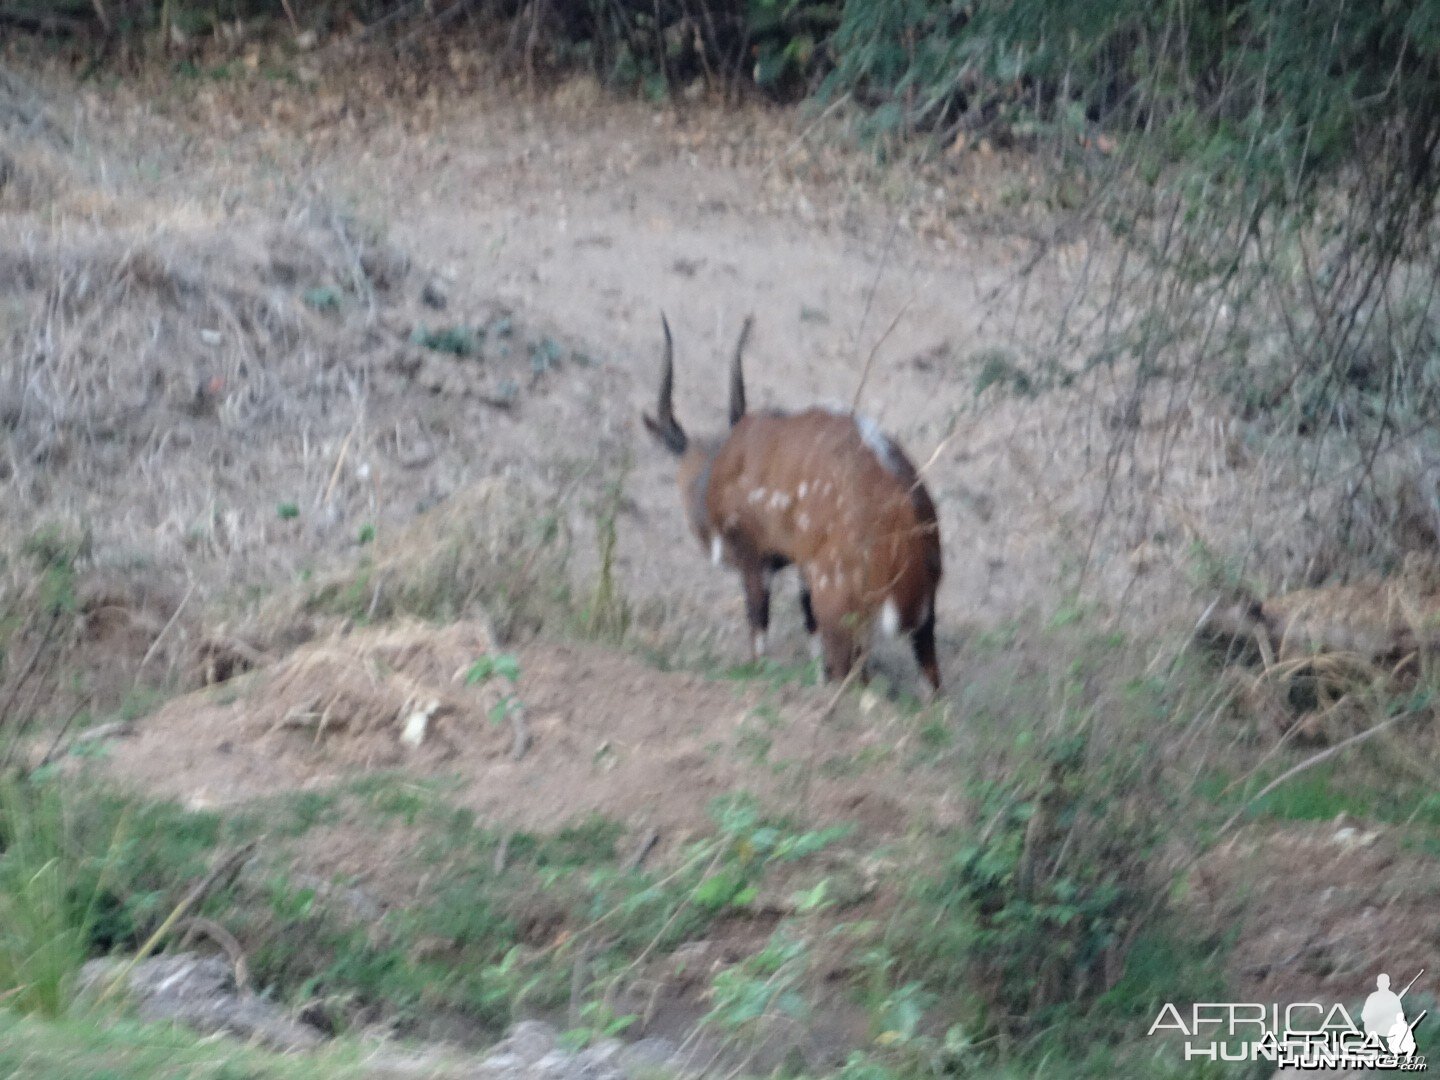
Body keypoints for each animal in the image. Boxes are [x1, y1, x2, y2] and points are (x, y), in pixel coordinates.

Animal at [645, 316, 944, 694]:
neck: (717, 467)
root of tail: (908, 519)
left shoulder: (753, 558)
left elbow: (759, 631)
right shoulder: (802, 569)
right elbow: (810, 636)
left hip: (839, 603)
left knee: (852, 674)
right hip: (923, 616)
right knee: (931, 685)